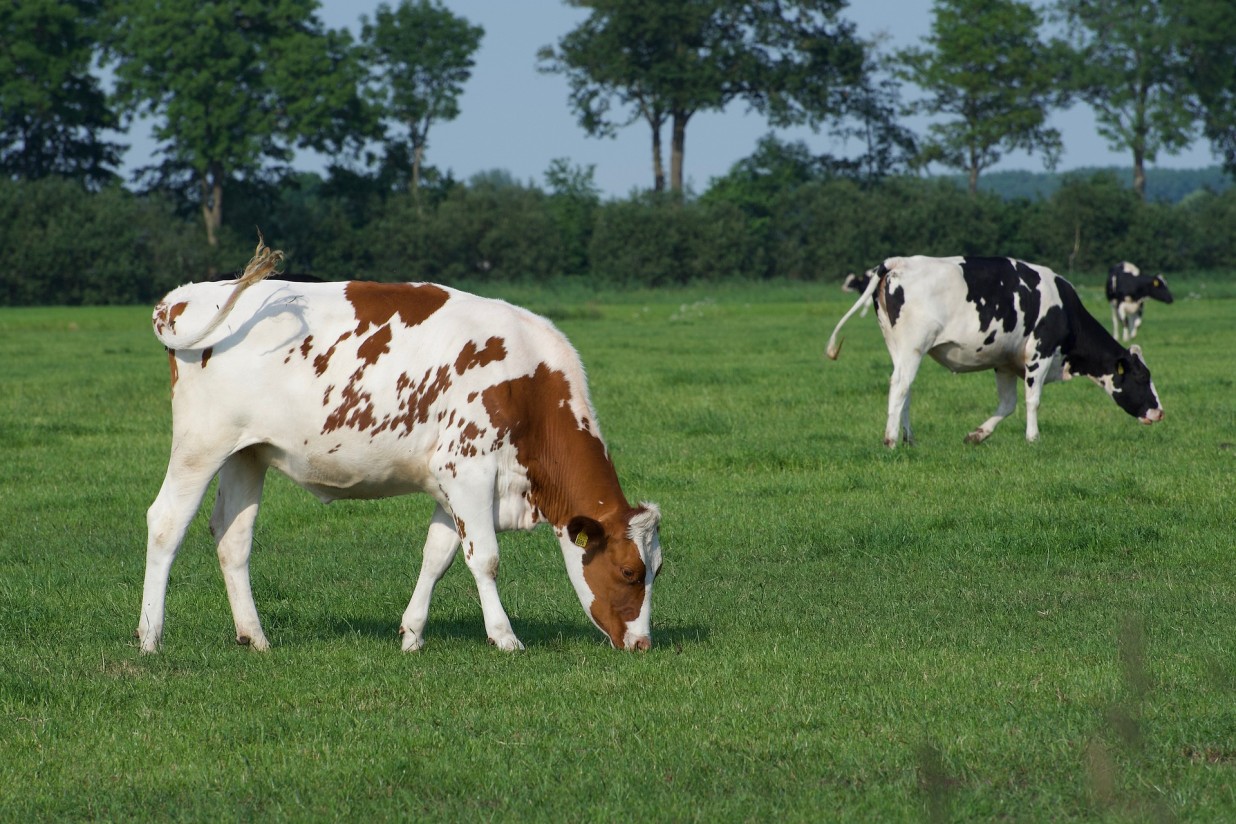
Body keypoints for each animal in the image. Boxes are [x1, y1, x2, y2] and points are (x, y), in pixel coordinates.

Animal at [139, 242, 662, 652]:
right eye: (630, 572)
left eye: (657, 570)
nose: (642, 643)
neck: (529, 386)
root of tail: (186, 296)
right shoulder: (467, 469)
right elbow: (485, 558)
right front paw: (505, 637)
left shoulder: (451, 486)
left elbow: (438, 556)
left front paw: (412, 633)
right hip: (201, 443)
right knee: (166, 522)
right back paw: (150, 638)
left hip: (247, 452)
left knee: (233, 535)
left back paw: (255, 636)